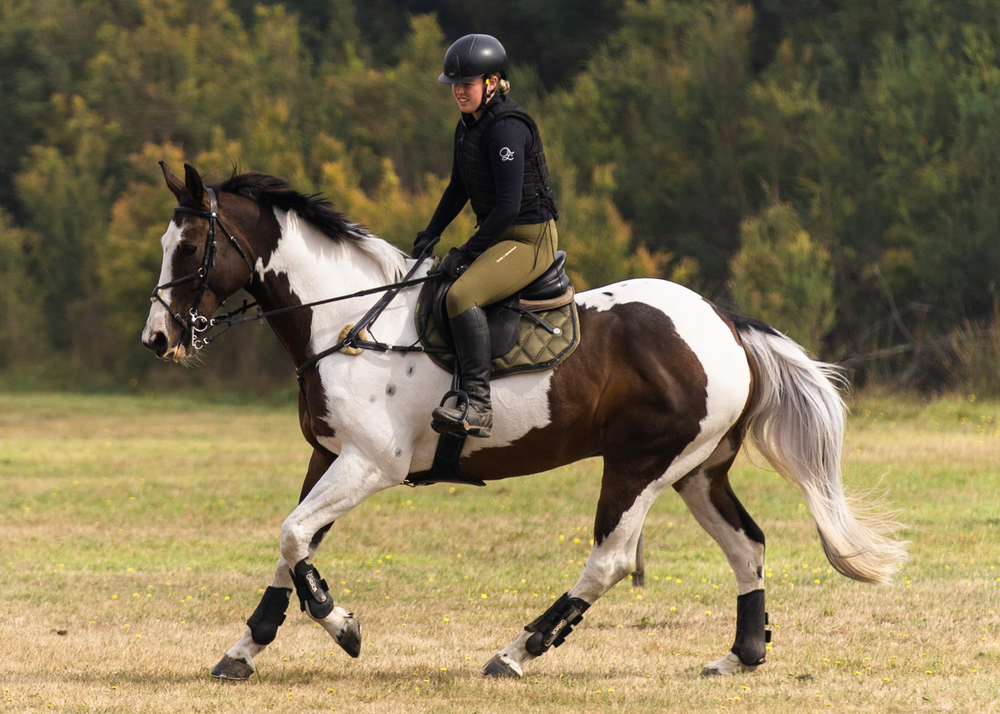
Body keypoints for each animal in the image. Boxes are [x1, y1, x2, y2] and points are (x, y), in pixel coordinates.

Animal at [143, 161, 916, 680]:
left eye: (188, 247)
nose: (158, 339)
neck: (347, 321)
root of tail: (724, 322)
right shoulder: (328, 456)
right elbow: (292, 544)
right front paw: (244, 650)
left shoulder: (369, 464)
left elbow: (293, 535)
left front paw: (343, 627)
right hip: (697, 471)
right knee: (745, 545)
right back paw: (741, 655)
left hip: (639, 467)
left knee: (608, 560)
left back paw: (517, 651)